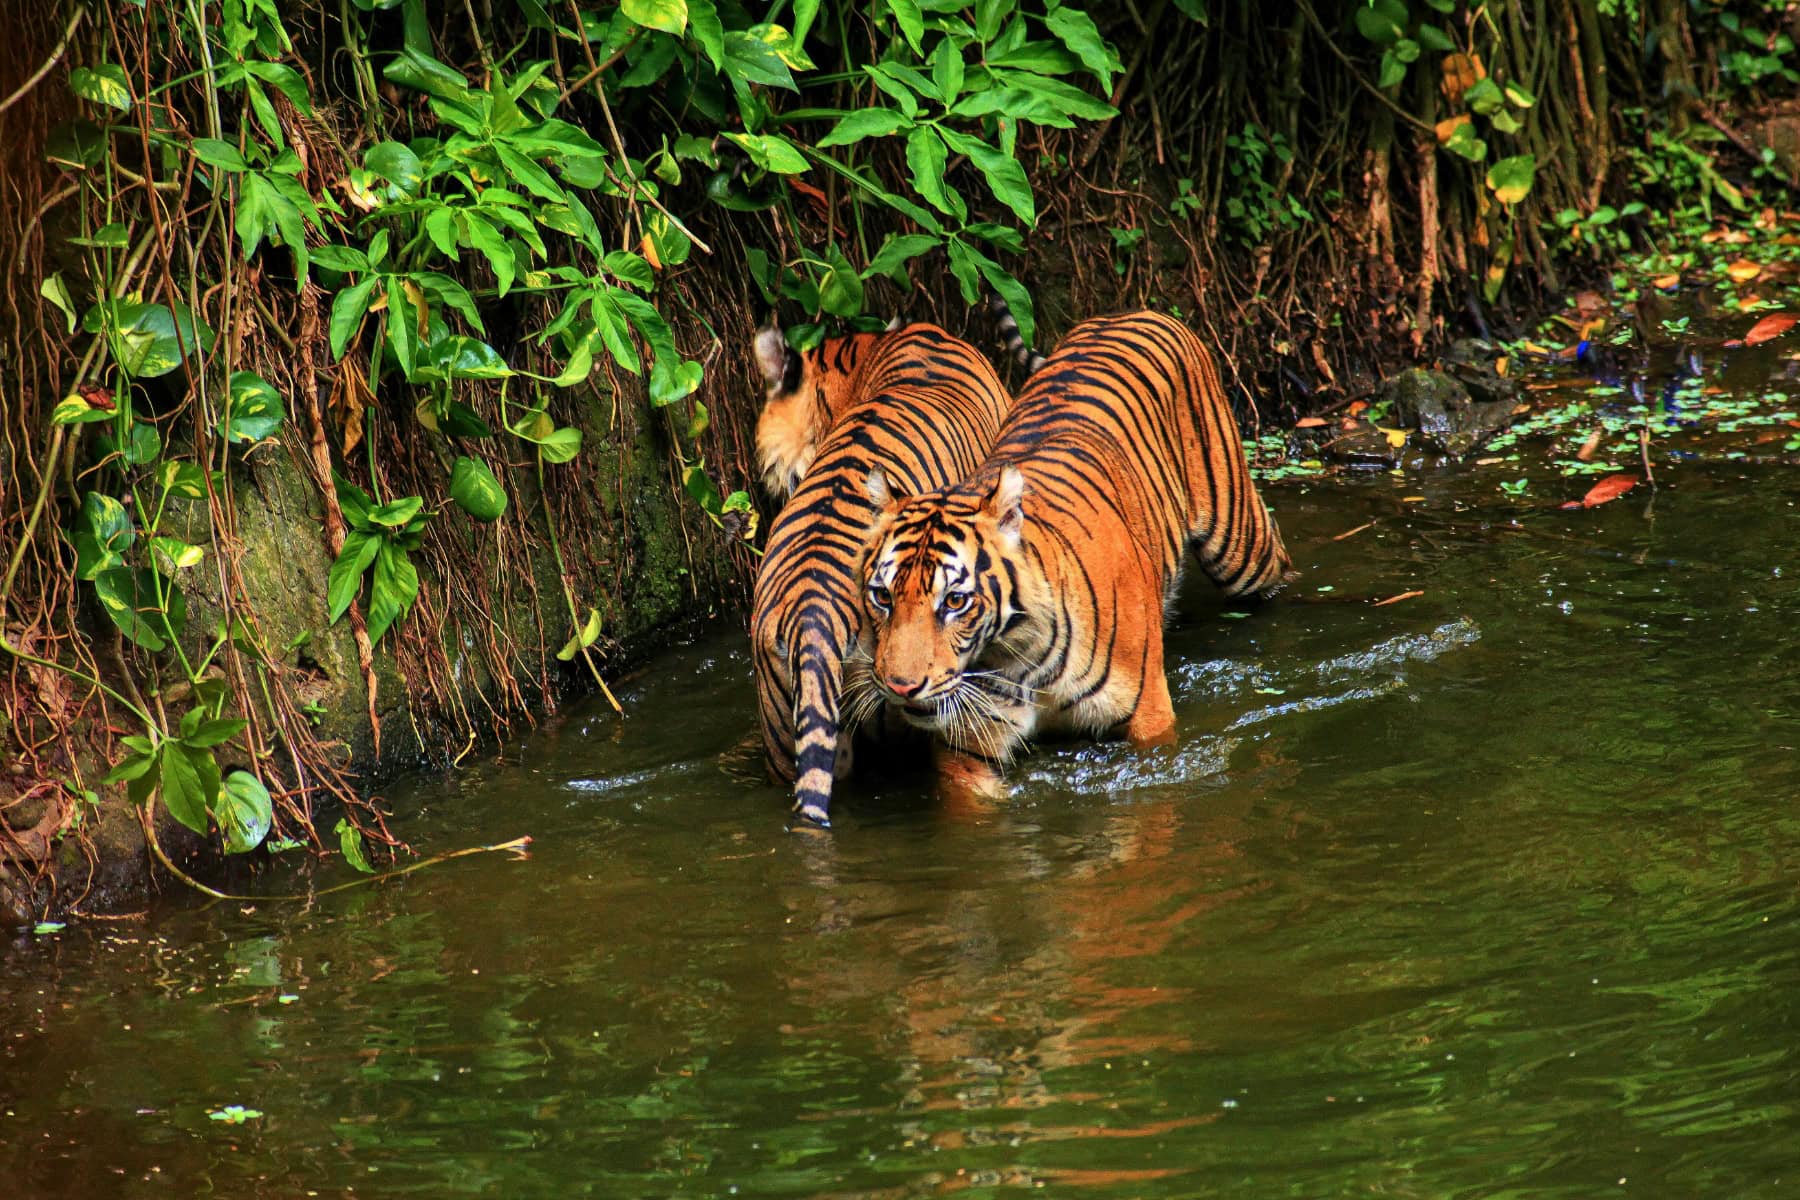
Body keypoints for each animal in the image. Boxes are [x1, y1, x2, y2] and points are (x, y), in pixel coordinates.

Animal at [853, 308, 1294, 798]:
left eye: (954, 601)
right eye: (882, 596)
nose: (900, 687)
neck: (1016, 656)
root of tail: (1136, 311)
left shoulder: (1149, 720)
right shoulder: (969, 750)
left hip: (1239, 543)